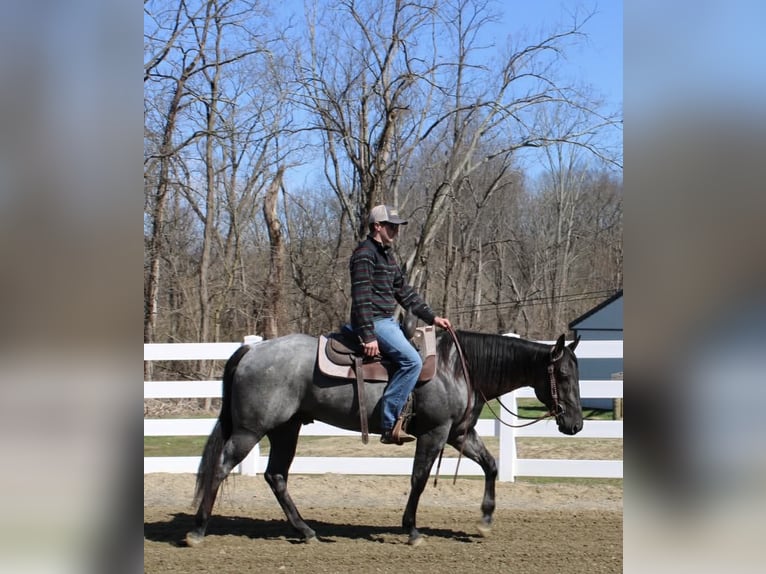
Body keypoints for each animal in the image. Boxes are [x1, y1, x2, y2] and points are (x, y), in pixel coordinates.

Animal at [185, 329, 582, 547]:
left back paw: (306, 530)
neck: (458, 367)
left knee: (276, 475)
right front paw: (412, 530)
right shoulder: (434, 433)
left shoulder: (460, 434)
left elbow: (491, 465)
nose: (576, 424)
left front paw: (484, 521)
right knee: (221, 469)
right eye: (562, 374)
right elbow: (419, 479)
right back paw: (198, 530)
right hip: (251, 430)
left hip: (287, 428)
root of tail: (253, 350)